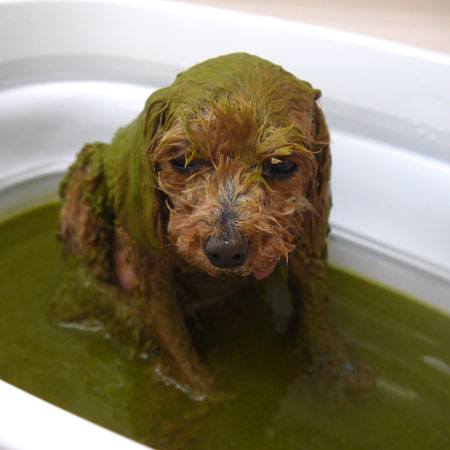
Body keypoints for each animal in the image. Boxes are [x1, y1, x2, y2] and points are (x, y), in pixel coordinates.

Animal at [54, 53, 372, 400]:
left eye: (283, 165)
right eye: (182, 160)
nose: (226, 251)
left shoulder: (303, 238)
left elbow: (314, 310)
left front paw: (333, 372)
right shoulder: (148, 262)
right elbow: (172, 339)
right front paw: (207, 397)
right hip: (85, 187)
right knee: (84, 292)